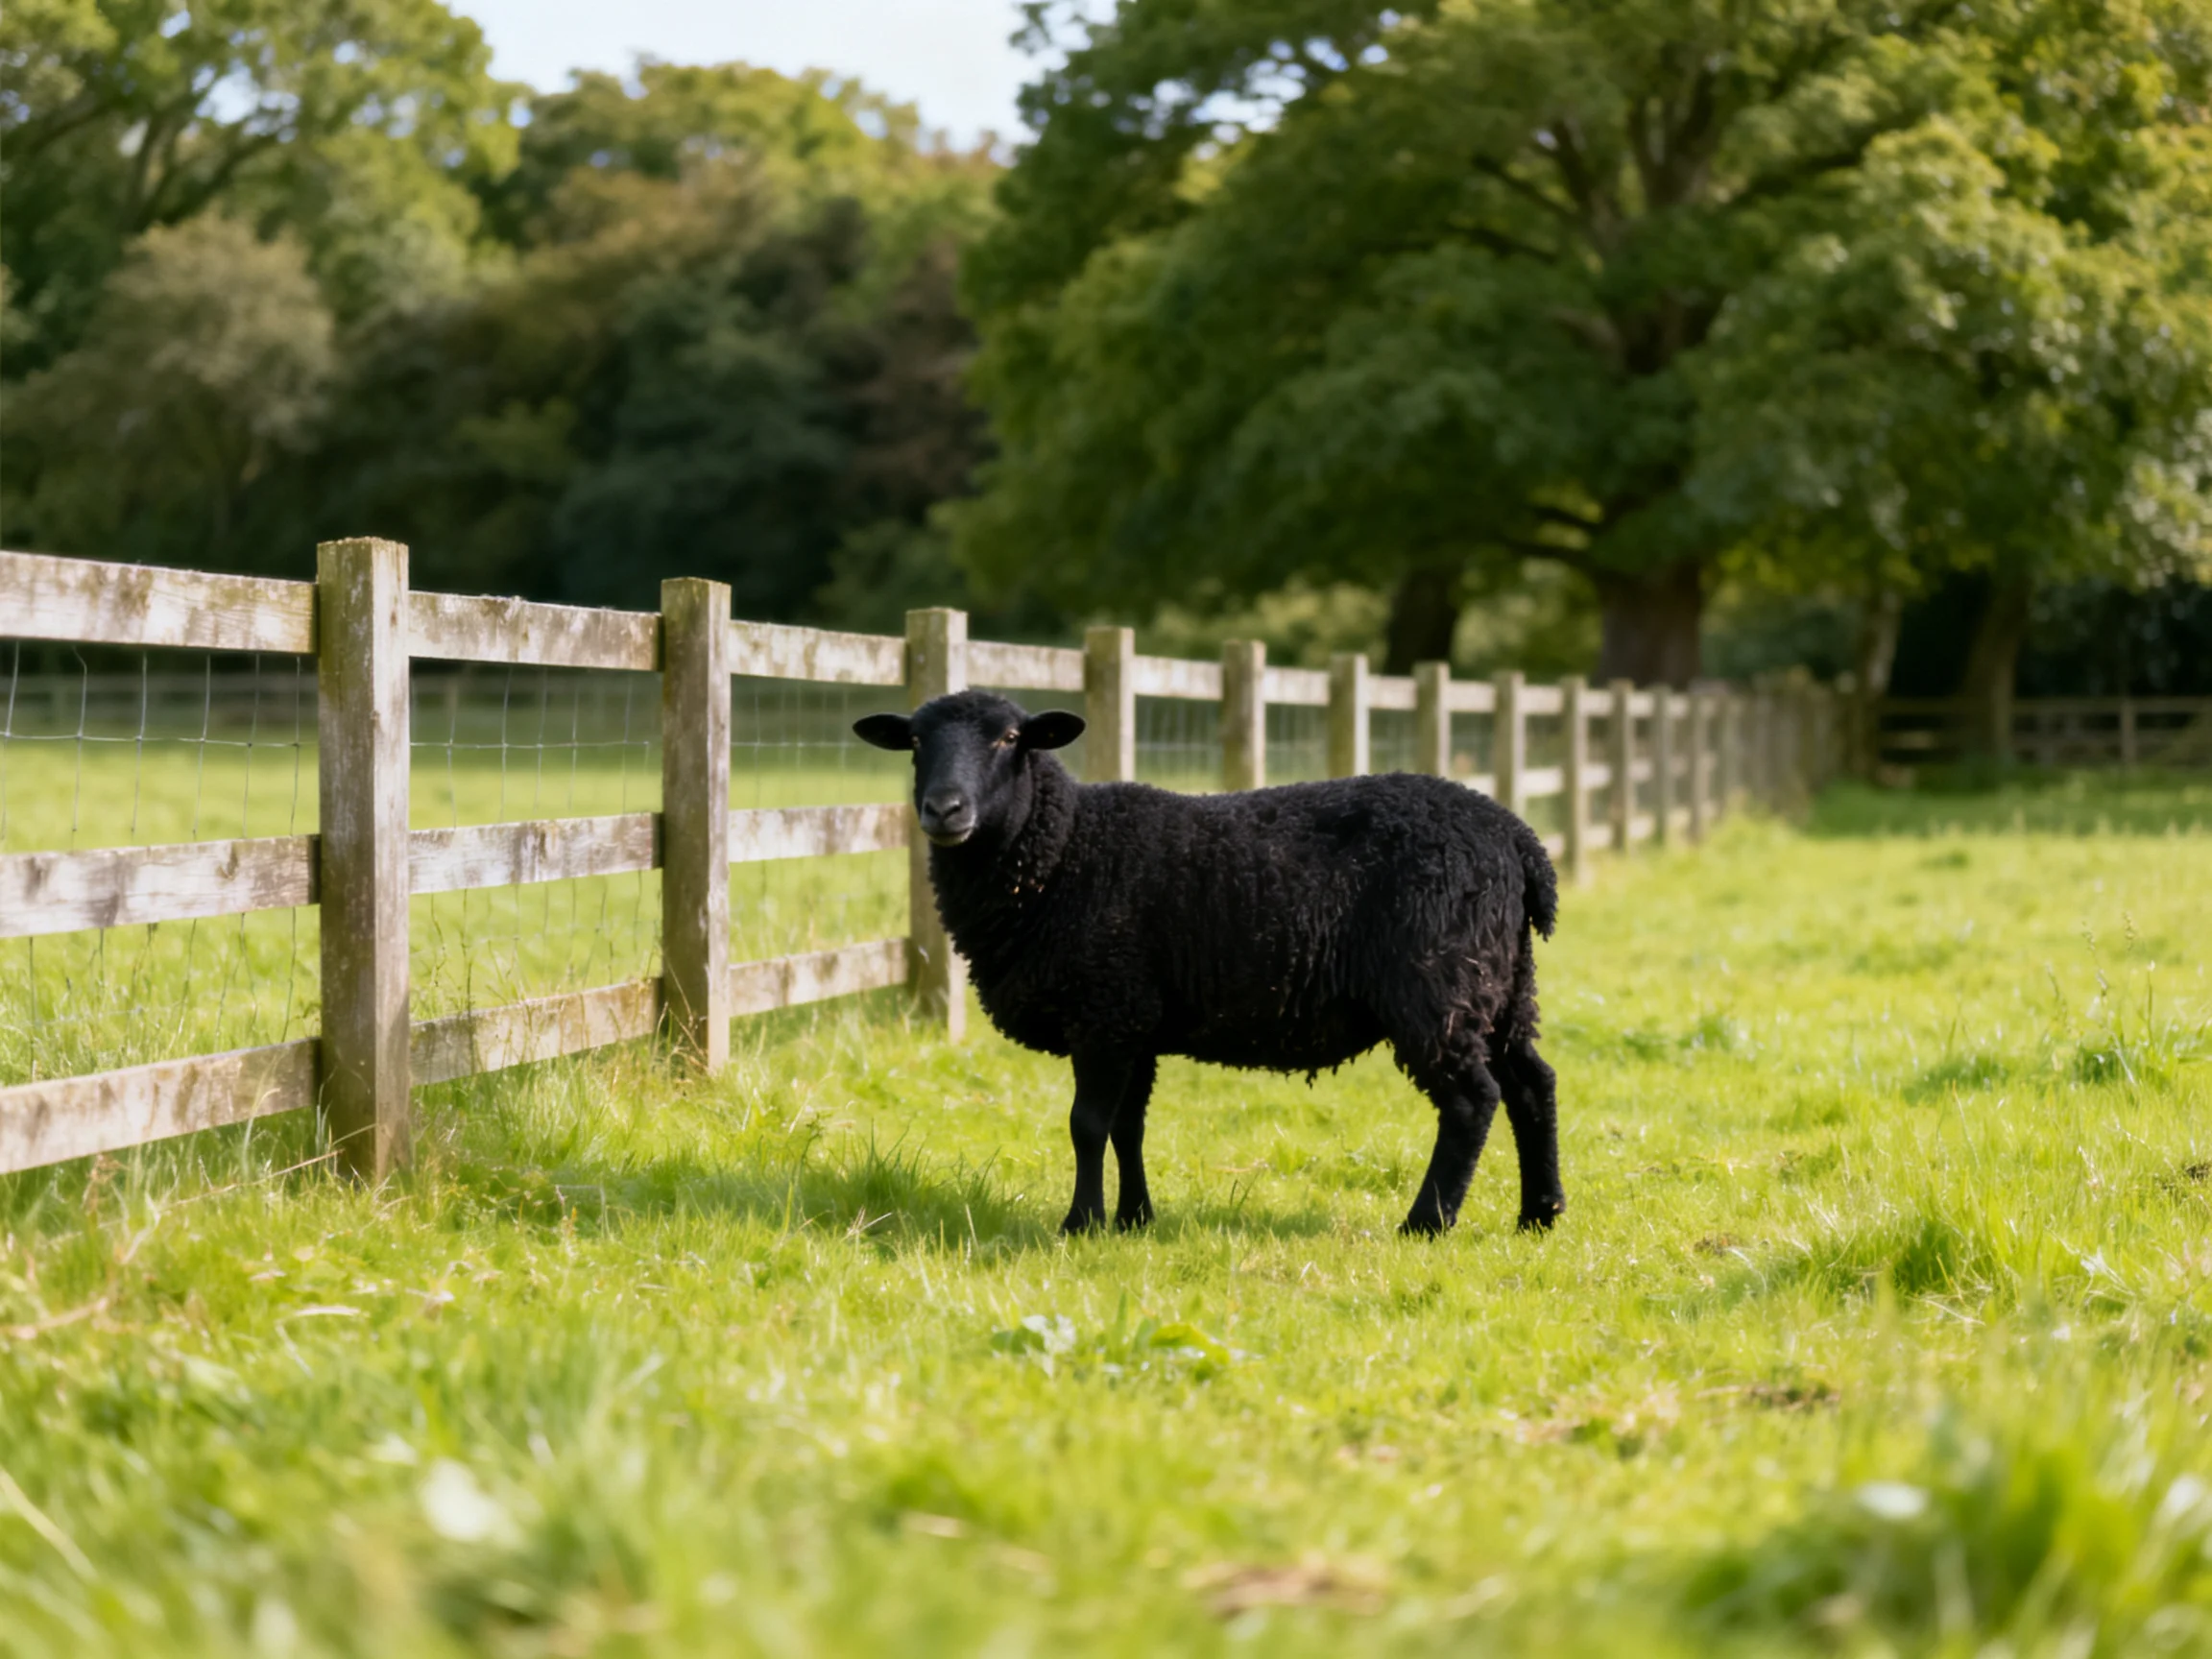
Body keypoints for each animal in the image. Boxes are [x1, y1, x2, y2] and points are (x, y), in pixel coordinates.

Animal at [854, 690, 1562, 1238]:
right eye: (914, 741)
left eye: (1008, 739)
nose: (944, 810)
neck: (1063, 852)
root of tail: (1517, 839)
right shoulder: (1132, 1019)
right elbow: (1127, 1128)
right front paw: (1134, 1219)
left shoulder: (1102, 1011)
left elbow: (1087, 1125)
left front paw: (1081, 1223)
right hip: (1501, 984)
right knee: (1532, 1083)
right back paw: (1540, 1215)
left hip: (1437, 982)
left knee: (1472, 1099)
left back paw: (1426, 1223)